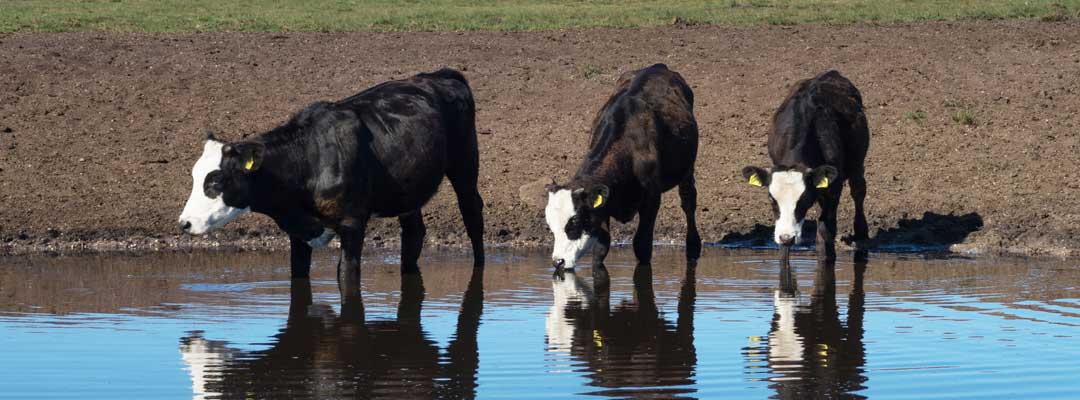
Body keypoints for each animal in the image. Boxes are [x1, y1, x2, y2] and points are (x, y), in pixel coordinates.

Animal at [179, 68, 483, 296]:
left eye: (216, 181)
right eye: (194, 177)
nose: (185, 223)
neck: (309, 160)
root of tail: (439, 74)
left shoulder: (352, 223)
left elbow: (347, 275)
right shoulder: (298, 232)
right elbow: (298, 273)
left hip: (465, 163)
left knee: (472, 214)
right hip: (409, 189)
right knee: (413, 234)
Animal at [529, 64, 699, 278]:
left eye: (574, 221)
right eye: (550, 226)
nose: (557, 262)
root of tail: (658, 66)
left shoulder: (652, 198)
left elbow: (642, 245)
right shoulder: (603, 209)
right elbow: (601, 249)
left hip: (688, 168)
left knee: (689, 202)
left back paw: (693, 248)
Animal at [743, 69, 868, 260]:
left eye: (804, 199)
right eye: (771, 199)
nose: (787, 237)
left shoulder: (834, 187)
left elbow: (825, 231)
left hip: (857, 161)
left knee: (858, 190)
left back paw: (861, 232)